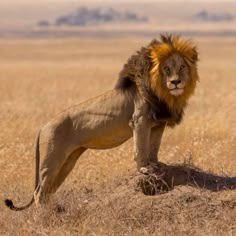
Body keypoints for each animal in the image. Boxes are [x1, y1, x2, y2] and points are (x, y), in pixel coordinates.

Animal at [4, 33, 198, 210]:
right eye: (166, 68)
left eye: (182, 67)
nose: (176, 82)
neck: (162, 92)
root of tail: (43, 126)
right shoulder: (139, 120)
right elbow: (141, 148)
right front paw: (144, 169)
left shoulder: (158, 124)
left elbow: (154, 146)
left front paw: (156, 164)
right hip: (51, 159)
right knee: (39, 192)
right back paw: (44, 215)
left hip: (67, 162)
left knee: (48, 191)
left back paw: (53, 211)